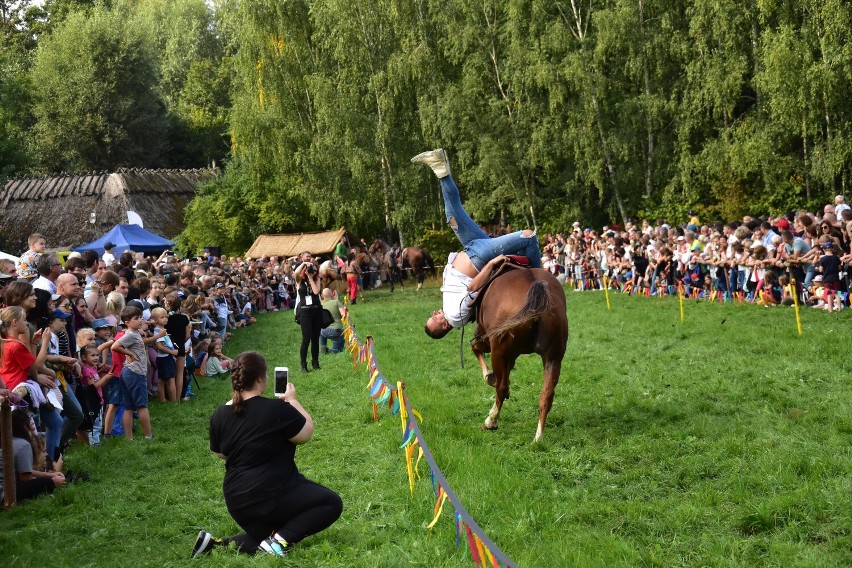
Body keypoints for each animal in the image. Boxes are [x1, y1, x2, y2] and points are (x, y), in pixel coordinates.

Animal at [470, 268, 568, 444]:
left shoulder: (486, 340)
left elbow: (476, 349)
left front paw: (489, 376)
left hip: (497, 351)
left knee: (501, 388)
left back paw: (491, 421)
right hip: (553, 359)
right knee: (547, 395)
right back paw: (538, 437)